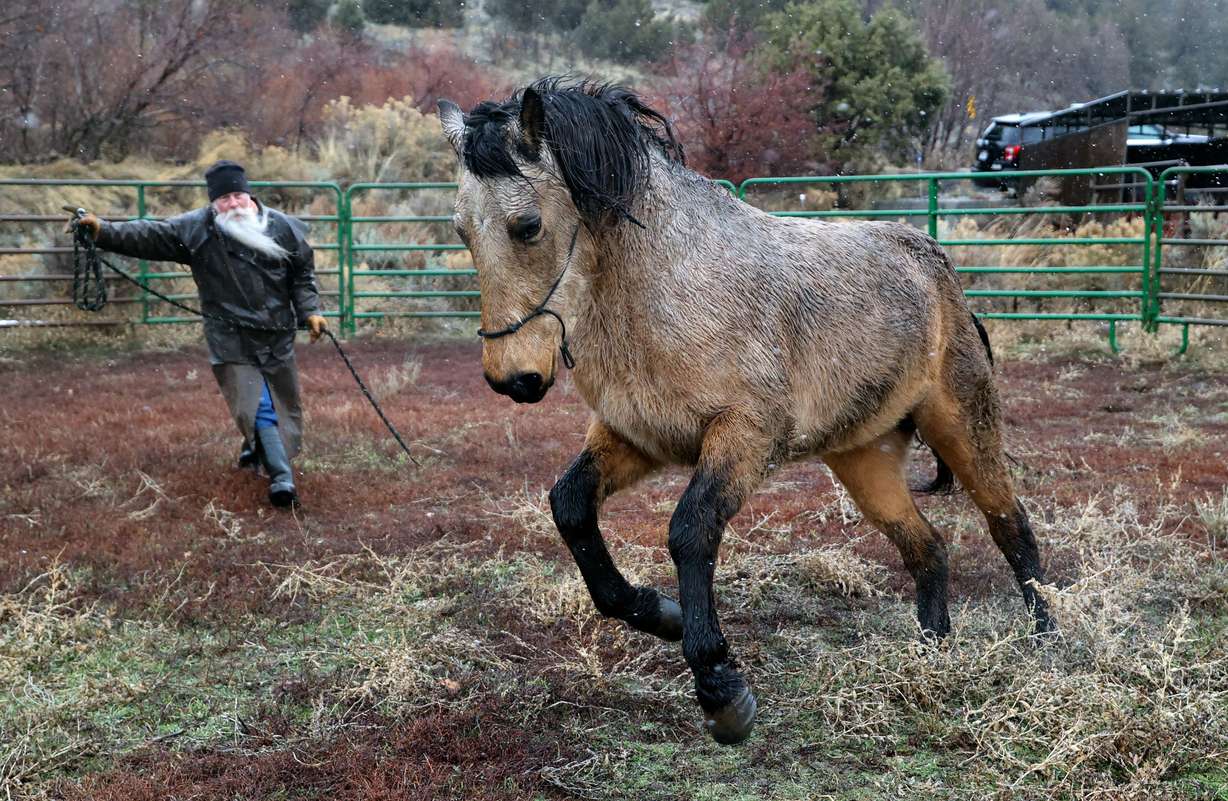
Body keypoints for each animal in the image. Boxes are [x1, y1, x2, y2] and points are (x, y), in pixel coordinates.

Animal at [436, 78, 1055, 745]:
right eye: (462, 231)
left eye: (526, 226)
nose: (513, 379)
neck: (669, 288)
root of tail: (940, 270)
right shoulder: (636, 438)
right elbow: (571, 507)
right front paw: (660, 615)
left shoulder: (745, 435)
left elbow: (689, 531)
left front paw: (720, 686)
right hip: (864, 460)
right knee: (928, 548)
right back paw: (932, 653)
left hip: (963, 426)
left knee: (1011, 527)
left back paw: (1046, 643)